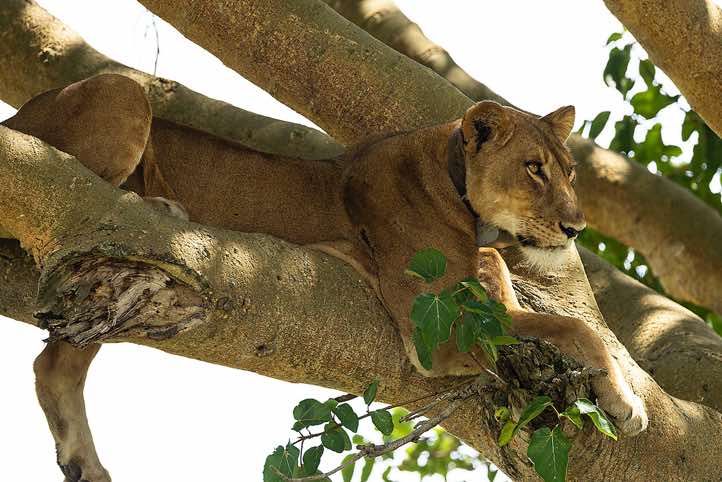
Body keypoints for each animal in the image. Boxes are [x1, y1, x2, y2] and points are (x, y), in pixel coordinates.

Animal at [4, 75, 646, 481]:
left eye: (569, 171)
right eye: (534, 169)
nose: (576, 228)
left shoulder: (488, 304)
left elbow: (577, 329)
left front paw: (625, 398)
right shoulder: (435, 335)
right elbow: (573, 329)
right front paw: (627, 405)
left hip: (101, 295)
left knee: (53, 364)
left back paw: (85, 467)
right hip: (122, 94)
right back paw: (161, 207)